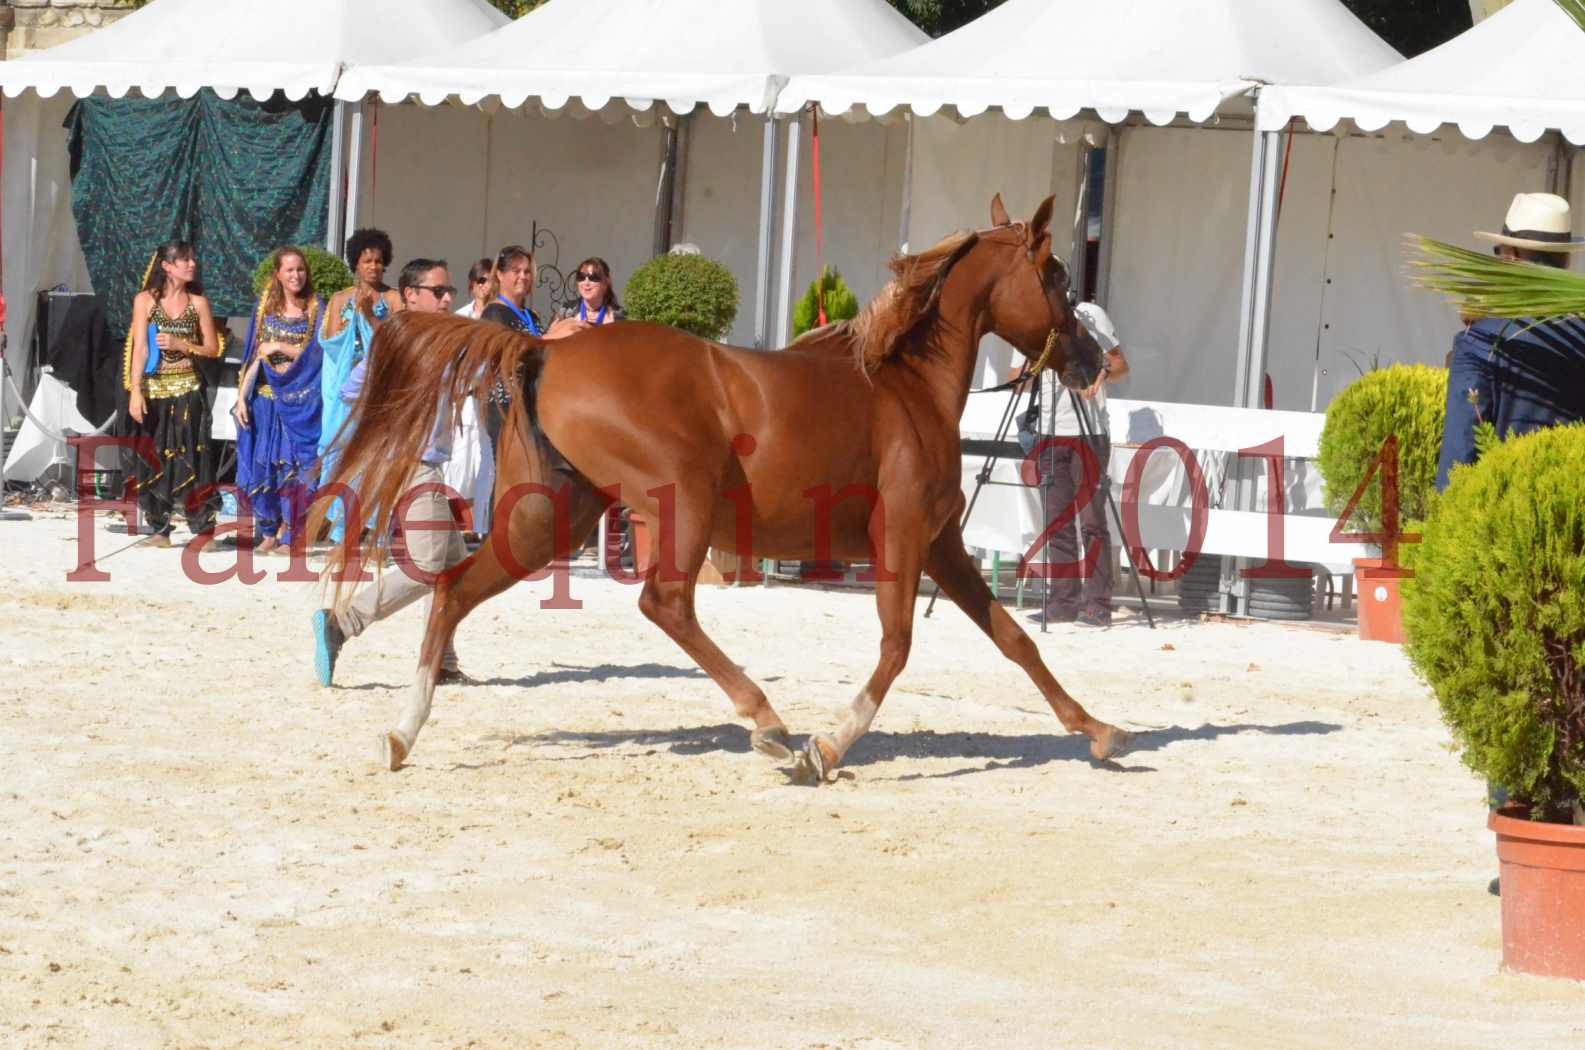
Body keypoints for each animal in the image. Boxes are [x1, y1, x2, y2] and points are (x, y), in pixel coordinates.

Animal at [312, 197, 1128, 786]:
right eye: (1058, 279)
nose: (1094, 361)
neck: (905, 385)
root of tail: (543, 346)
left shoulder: (941, 544)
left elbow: (1015, 637)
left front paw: (1097, 729)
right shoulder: (900, 535)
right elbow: (897, 648)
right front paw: (826, 748)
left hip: (549, 519)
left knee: (452, 589)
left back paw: (400, 734)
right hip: (683, 500)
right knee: (664, 603)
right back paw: (767, 723)